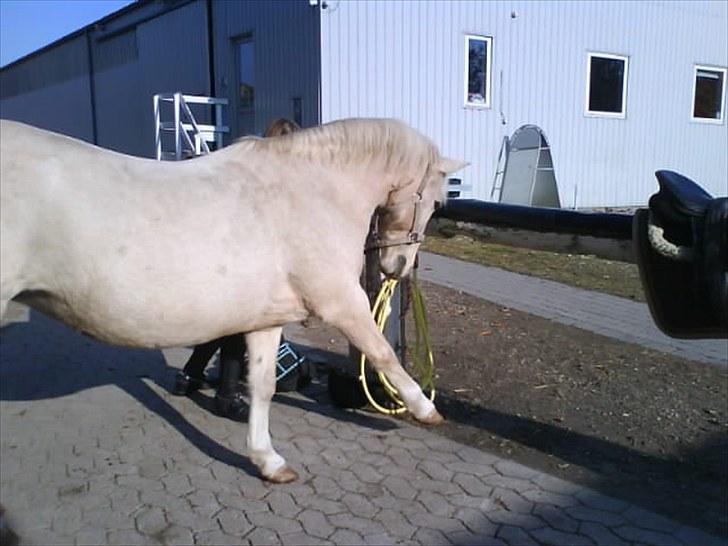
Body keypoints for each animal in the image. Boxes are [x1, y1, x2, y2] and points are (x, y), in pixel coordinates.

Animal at [0, 117, 466, 478]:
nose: (397, 266)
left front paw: (268, 460)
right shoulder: (341, 302)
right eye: (435, 202)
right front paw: (425, 409)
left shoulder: (266, 318)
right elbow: (383, 353)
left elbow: (262, 386)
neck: (311, 190)